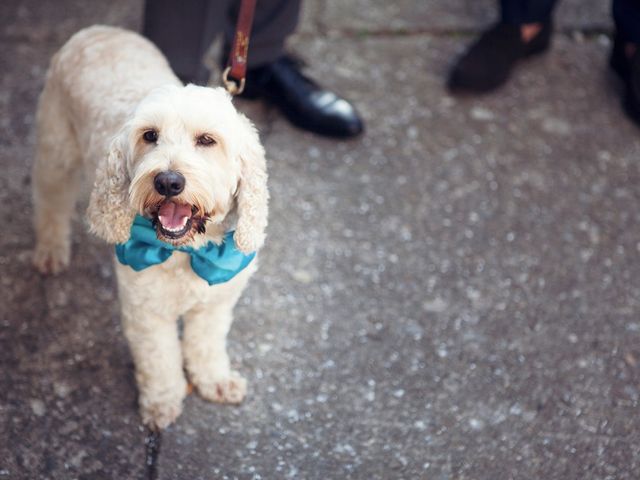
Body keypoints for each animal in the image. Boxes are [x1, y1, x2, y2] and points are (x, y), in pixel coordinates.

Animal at [31, 26, 268, 430]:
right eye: (150, 136)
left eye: (207, 140)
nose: (168, 181)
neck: (187, 250)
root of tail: (99, 30)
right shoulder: (146, 314)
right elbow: (159, 360)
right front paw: (162, 404)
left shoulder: (215, 304)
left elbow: (206, 345)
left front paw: (215, 381)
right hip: (55, 151)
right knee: (51, 202)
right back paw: (49, 251)